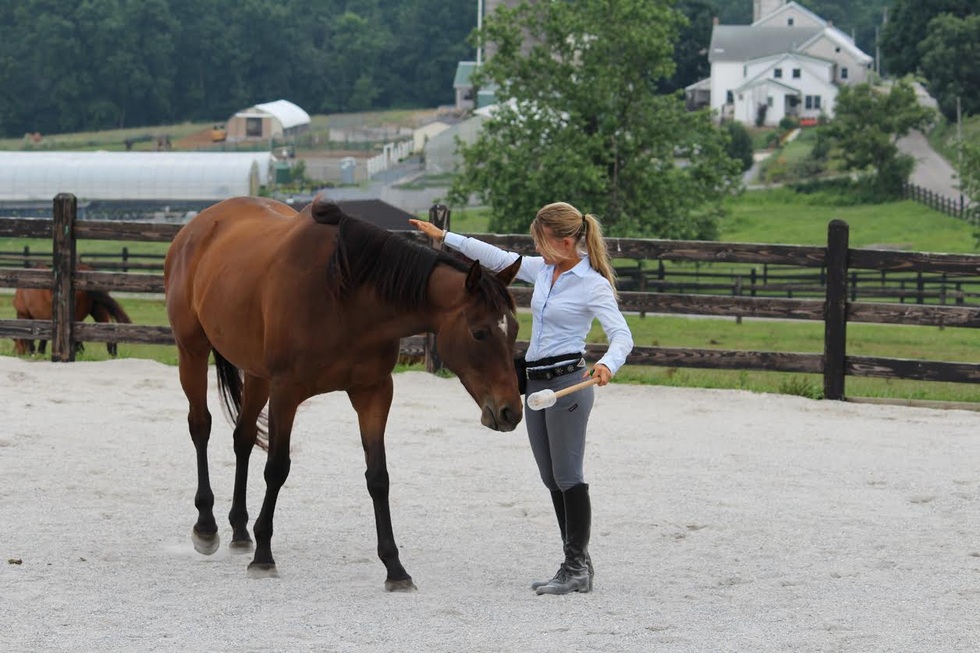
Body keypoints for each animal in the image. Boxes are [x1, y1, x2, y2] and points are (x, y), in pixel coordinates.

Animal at [164, 195, 523, 591]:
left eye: (514, 329)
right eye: (479, 333)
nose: (510, 411)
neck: (346, 297)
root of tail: (197, 225)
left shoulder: (373, 391)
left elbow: (378, 477)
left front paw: (395, 568)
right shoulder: (286, 391)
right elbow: (277, 468)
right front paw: (264, 556)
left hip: (256, 374)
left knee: (242, 438)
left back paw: (240, 531)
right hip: (192, 351)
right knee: (201, 426)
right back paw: (206, 526)